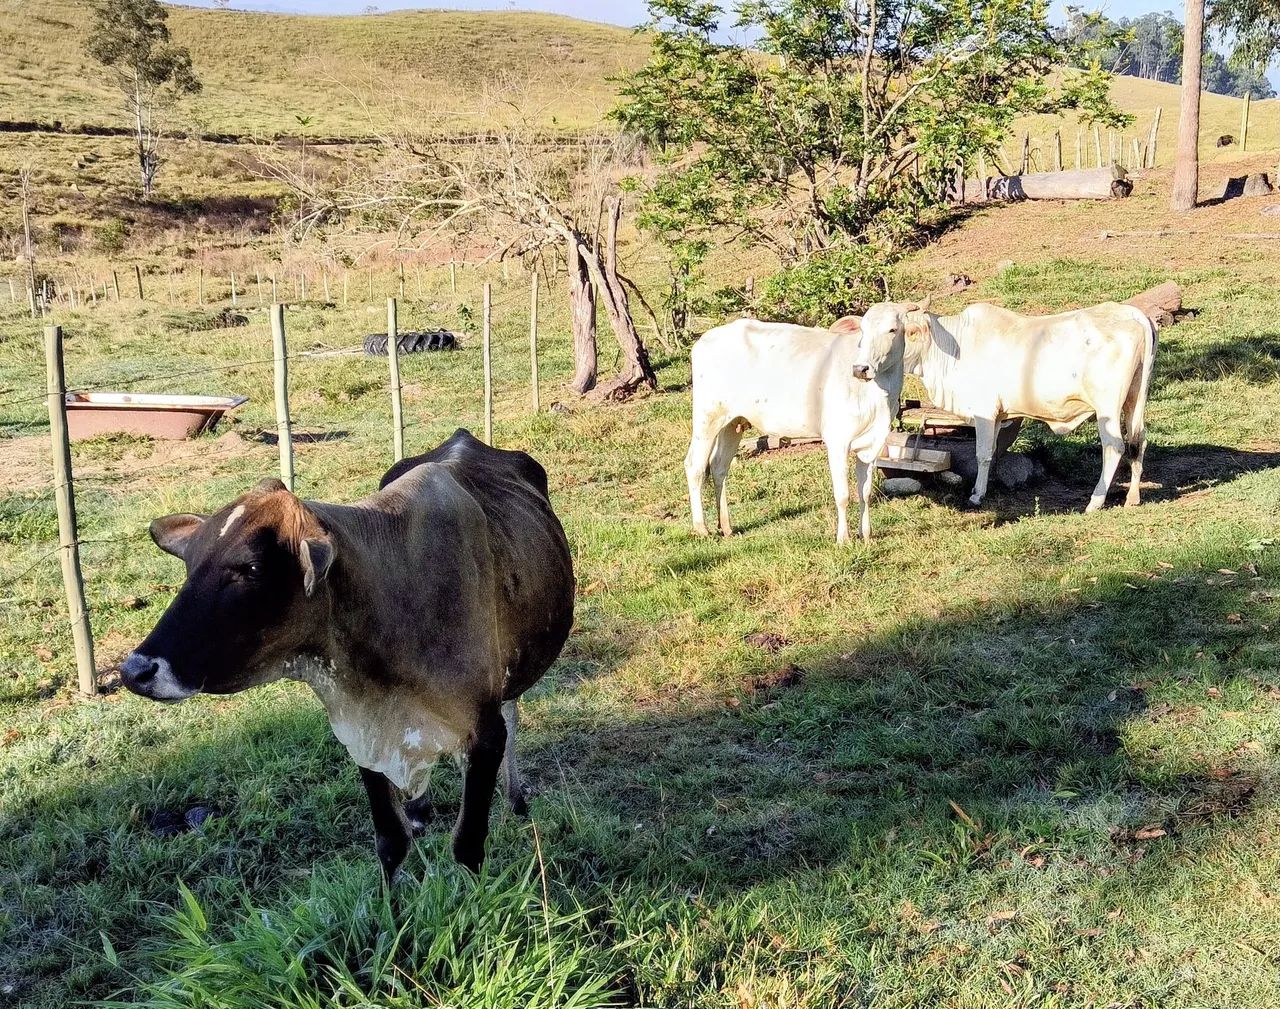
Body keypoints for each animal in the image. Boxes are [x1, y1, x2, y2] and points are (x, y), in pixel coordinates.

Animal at [118, 429, 575, 883]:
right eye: (190, 563)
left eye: (251, 569)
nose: (135, 670)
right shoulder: (363, 734)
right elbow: (390, 842)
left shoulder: (484, 735)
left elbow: (468, 845)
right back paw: (419, 808)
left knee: (513, 709)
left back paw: (515, 798)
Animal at [684, 302, 914, 544]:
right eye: (862, 330)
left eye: (892, 330)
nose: (860, 369)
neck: (878, 398)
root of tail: (706, 338)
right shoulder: (837, 440)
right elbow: (843, 494)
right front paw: (843, 539)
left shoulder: (873, 442)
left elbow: (865, 492)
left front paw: (866, 536)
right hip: (707, 416)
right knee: (695, 466)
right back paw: (701, 528)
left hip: (732, 421)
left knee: (719, 467)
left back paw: (726, 526)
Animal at [902, 301, 1157, 510]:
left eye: (907, 332)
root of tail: (1132, 313)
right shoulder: (997, 415)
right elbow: (993, 451)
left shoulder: (984, 412)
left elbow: (982, 454)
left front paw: (976, 496)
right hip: (1135, 398)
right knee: (1138, 440)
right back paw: (1132, 497)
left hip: (1107, 406)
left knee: (1115, 446)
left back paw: (1095, 501)